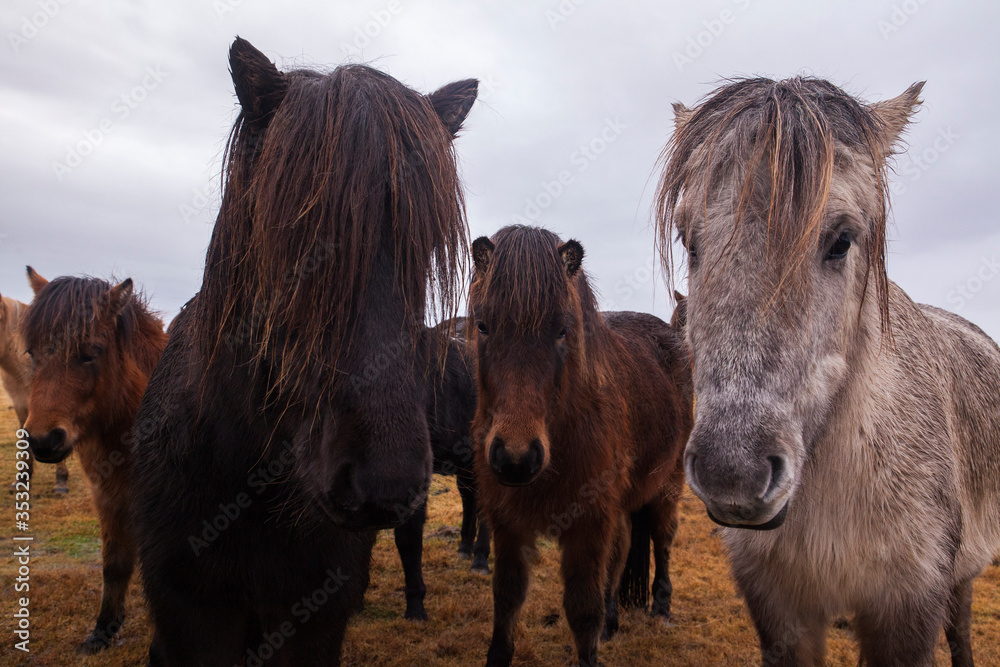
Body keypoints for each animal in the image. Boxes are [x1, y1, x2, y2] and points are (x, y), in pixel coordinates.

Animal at [20, 267, 167, 653]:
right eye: (31, 352)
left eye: (90, 354)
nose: (42, 439)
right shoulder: (109, 498)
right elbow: (114, 563)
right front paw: (103, 629)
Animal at [469, 225, 693, 667]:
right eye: (483, 326)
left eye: (562, 330)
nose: (516, 459)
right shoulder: (508, 523)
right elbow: (506, 600)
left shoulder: (588, 523)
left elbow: (582, 610)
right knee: (622, 550)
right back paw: (613, 620)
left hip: (668, 483)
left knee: (663, 538)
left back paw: (661, 607)